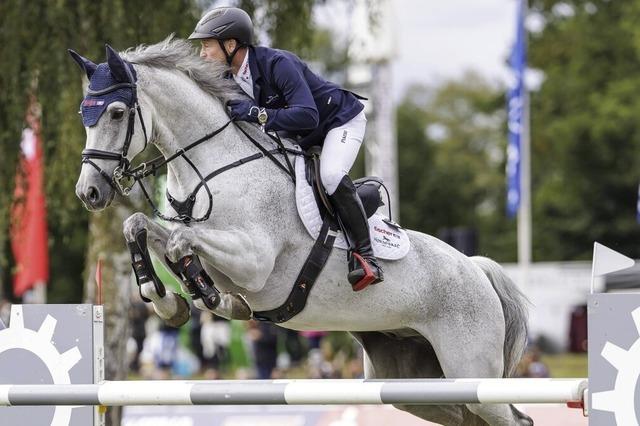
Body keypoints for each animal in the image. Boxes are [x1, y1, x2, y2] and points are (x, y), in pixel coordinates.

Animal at [70, 37, 532, 426]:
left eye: (116, 112)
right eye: (83, 115)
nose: (89, 192)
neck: (214, 166)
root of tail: (476, 269)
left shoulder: (254, 260)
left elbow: (184, 244)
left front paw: (204, 296)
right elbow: (139, 226)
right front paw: (169, 301)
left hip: (470, 368)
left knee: (512, 417)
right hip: (418, 383)